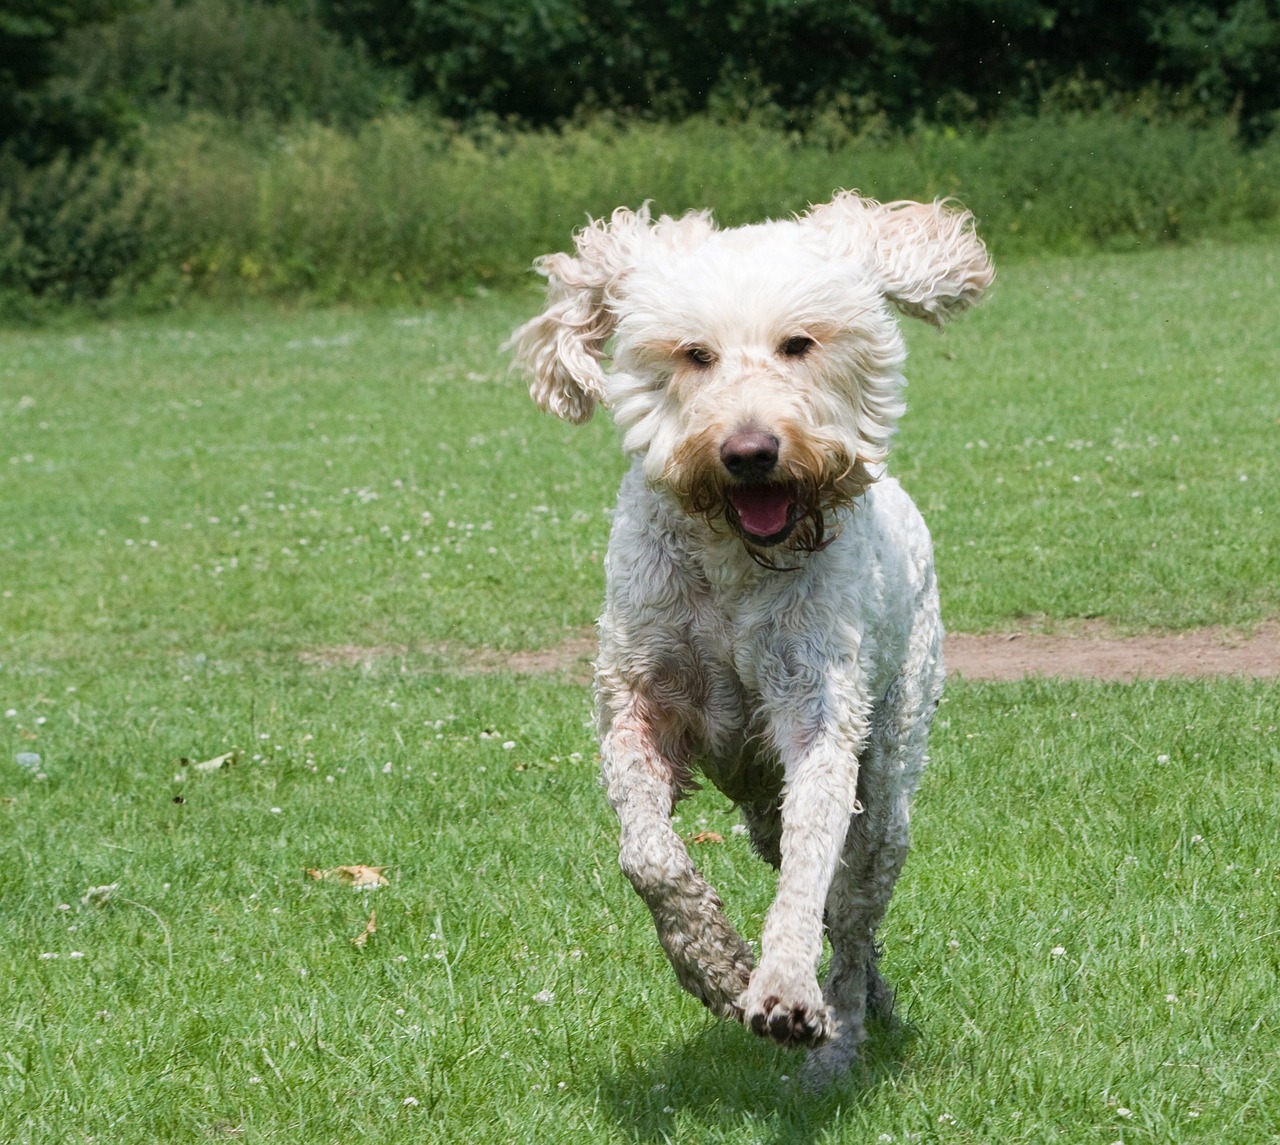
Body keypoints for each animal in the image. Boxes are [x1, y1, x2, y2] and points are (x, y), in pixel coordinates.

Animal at [504, 190, 993, 1084]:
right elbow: (649, 855)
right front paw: (713, 963)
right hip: (761, 805)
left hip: (890, 777)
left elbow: (810, 867)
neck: (737, 560)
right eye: (695, 354)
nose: (750, 451)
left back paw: (841, 1034)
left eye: (798, 343)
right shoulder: (638, 707)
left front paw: (786, 990)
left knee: (853, 907)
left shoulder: (819, 713)